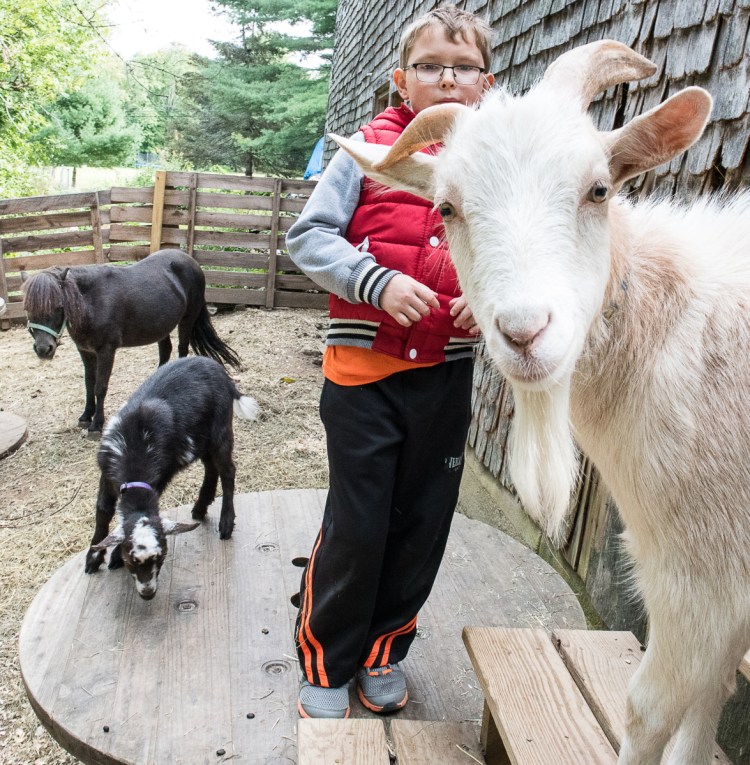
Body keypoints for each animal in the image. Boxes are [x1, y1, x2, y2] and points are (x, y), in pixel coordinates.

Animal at [85, 356, 260, 600]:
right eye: (132, 561)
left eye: (162, 556)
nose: (148, 593)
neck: (136, 448)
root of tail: (222, 373)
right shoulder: (107, 473)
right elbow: (103, 511)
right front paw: (94, 559)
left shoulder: (159, 477)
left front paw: (113, 557)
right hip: (200, 438)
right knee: (211, 468)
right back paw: (200, 507)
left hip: (220, 429)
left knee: (227, 471)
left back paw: (226, 523)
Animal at [338, 40, 750, 764]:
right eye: (447, 209)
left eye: (599, 189)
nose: (526, 332)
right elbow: (709, 698)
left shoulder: (702, 572)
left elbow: (648, 710)